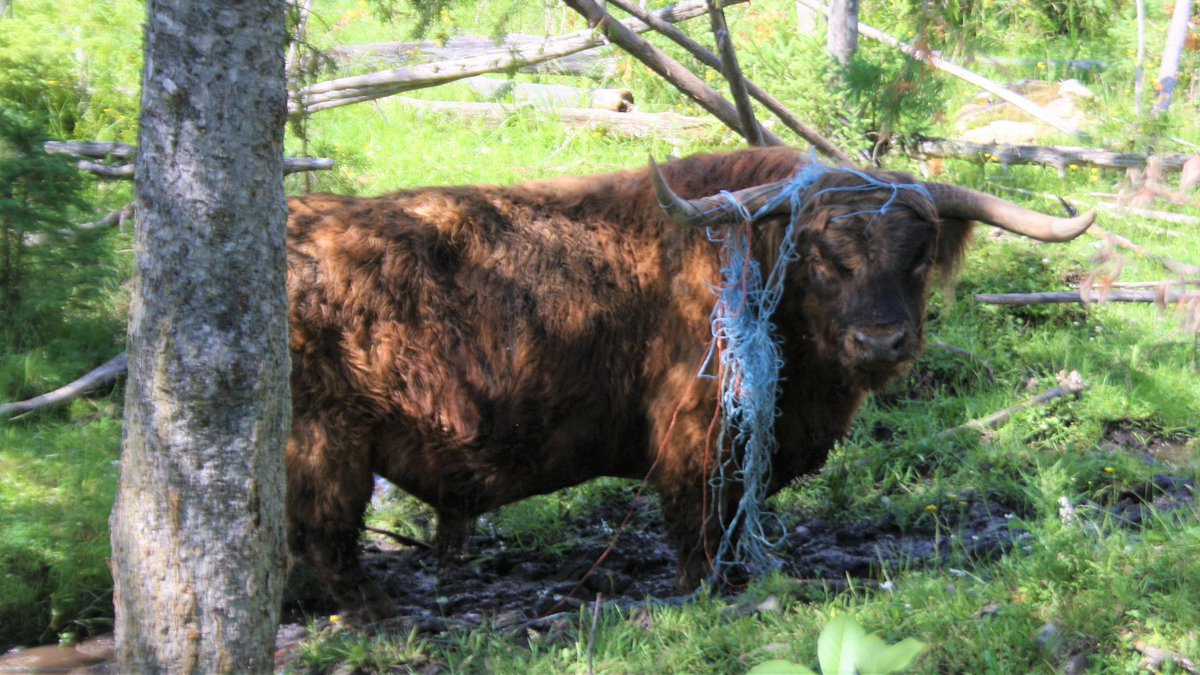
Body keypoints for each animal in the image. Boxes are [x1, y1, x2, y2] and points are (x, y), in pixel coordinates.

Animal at [284, 146, 1094, 619]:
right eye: (821, 256)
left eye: (920, 253)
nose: (880, 339)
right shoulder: (697, 428)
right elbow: (700, 514)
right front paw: (706, 586)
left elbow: (734, 508)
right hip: (327, 441)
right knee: (324, 536)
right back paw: (380, 608)